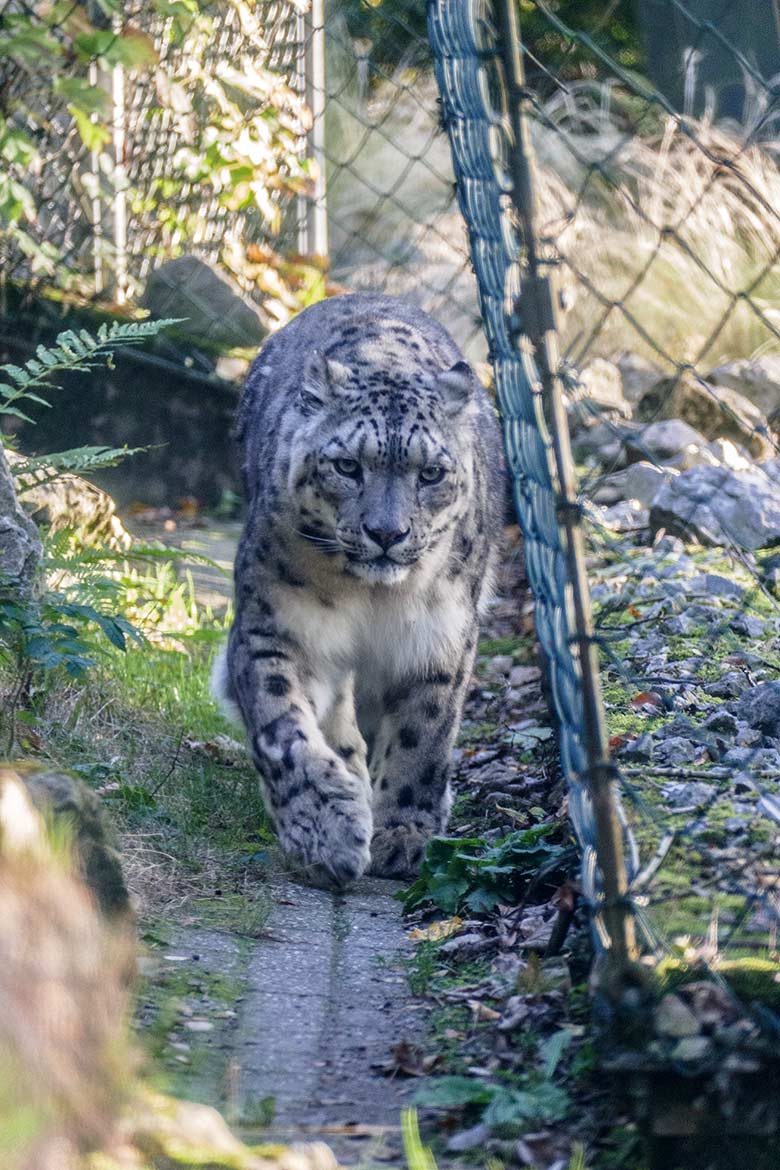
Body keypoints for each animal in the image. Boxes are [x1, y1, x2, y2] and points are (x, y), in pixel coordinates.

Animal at [214, 292, 502, 884]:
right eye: (348, 466)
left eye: (431, 474)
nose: (387, 533)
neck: (373, 600)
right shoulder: (275, 626)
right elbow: (283, 726)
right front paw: (326, 834)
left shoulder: (440, 639)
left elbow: (424, 734)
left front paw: (405, 833)